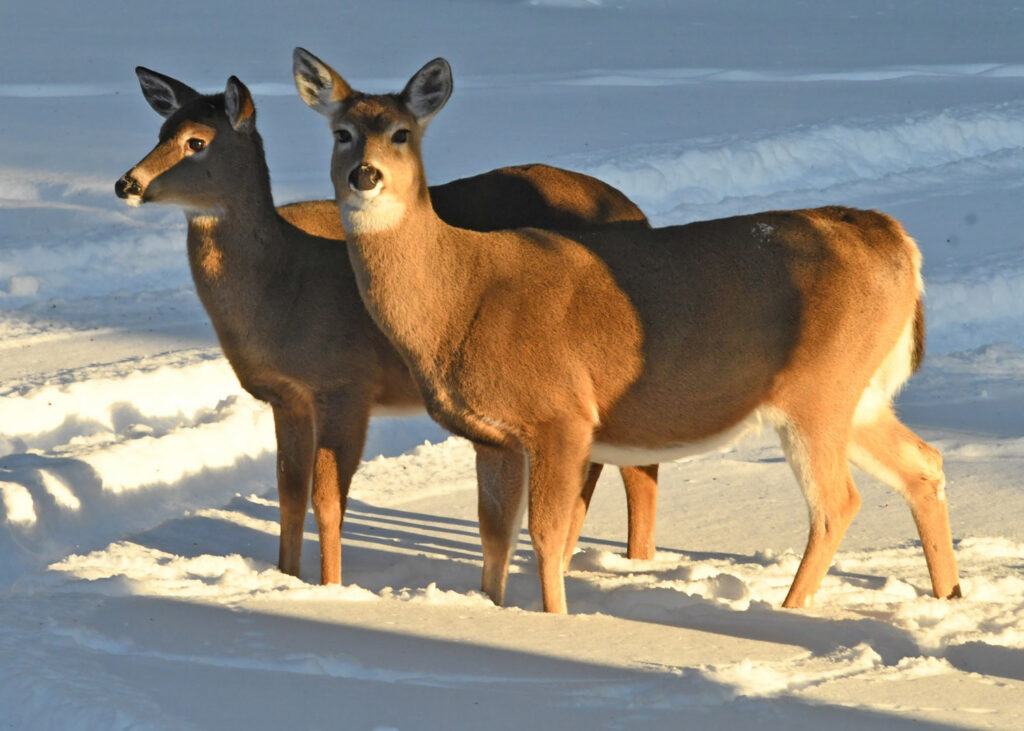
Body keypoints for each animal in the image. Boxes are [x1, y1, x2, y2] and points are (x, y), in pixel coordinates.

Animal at [114, 68, 665, 593]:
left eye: (197, 141)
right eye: (161, 131)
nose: (126, 184)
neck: (284, 282)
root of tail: (640, 216)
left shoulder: (345, 384)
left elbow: (326, 500)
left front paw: (330, 587)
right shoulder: (286, 397)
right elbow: (289, 495)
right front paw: (285, 578)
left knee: (638, 467)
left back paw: (633, 565)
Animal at [292, 48, 961, 614]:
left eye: (402, 133)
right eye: (341, 133)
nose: (365, 176)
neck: (460, 295)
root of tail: (894, 239)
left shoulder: (562, 415)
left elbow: (546, 535)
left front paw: (554, 623)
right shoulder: (492, 435)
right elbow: (494, 536)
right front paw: (492, 611)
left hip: (817, 389)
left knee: (837, 503)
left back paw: (790, 611)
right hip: (858, 392)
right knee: (923, 463)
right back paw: (947, 596)